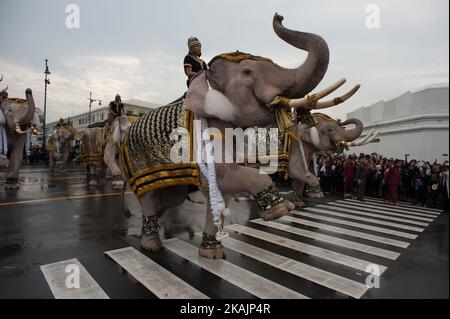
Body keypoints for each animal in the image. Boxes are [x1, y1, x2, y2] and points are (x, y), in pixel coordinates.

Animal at [118, 13, 360, 260]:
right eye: (247, 71)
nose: (279, 15)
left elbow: (222, 188)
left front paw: (212, 255)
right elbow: (226, 175)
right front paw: (282, 210)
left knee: (170, 196)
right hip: (138, 162)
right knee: (149, 197)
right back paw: (151, 245)